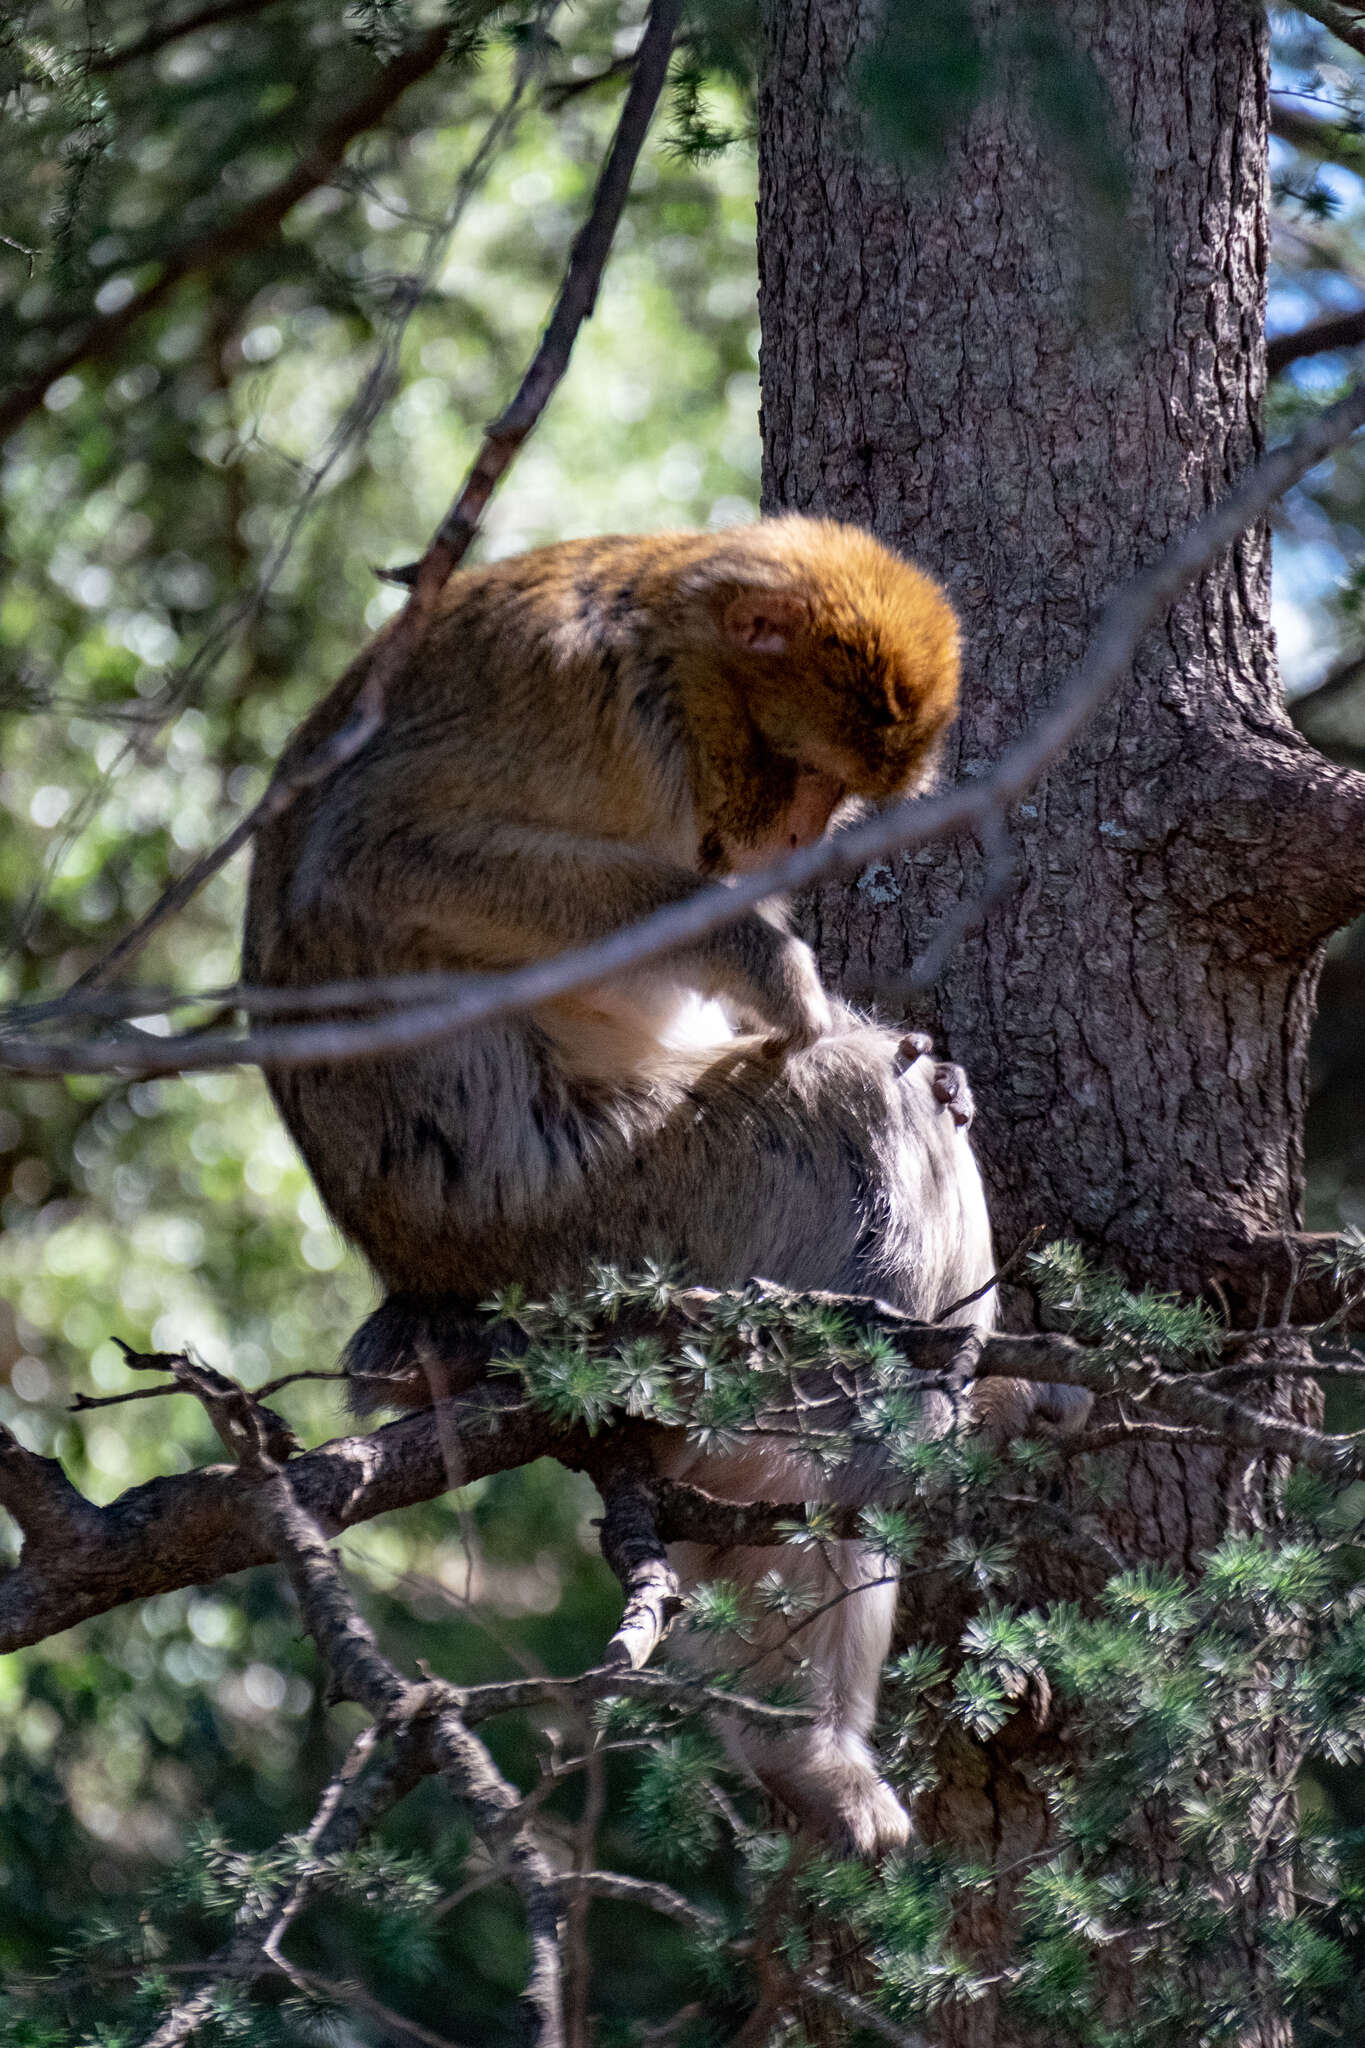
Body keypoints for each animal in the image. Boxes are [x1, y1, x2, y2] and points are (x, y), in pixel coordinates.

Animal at [242, 520, 1080, 1867]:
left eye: (836, 795)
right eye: (797, 768)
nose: (796, 844)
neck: (667, 655)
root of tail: (422, 1280)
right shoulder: (581, 706)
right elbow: (379, 862)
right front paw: (768, 958)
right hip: (615, 1229)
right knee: (861, 1123)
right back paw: (814, 1730)